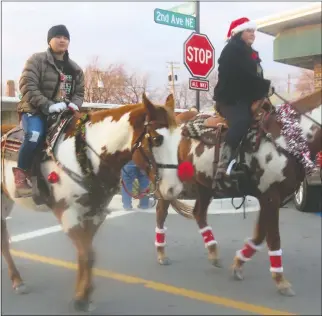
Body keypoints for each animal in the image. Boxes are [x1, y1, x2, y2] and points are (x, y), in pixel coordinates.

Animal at [0, 92, 186, 312]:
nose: (174, 189)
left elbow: (88, 255)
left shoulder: (95, 212)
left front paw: (85, 295)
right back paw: (17, 281)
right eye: (157, 139)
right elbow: (86, 254)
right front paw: (81, 298)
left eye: (179, 140)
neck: (84, 155)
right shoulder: (68, 213)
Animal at [152, 97, 322, 296]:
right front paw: (281, 281)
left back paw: (213, 253)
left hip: (204, 185)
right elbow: (273, 238)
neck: (289, 138)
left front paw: (238, 265)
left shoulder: (270, 198)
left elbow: (259, 235)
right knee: (161, 210)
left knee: (199, 213)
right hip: (172, 180)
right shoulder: (270, 196)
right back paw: (162, 254)